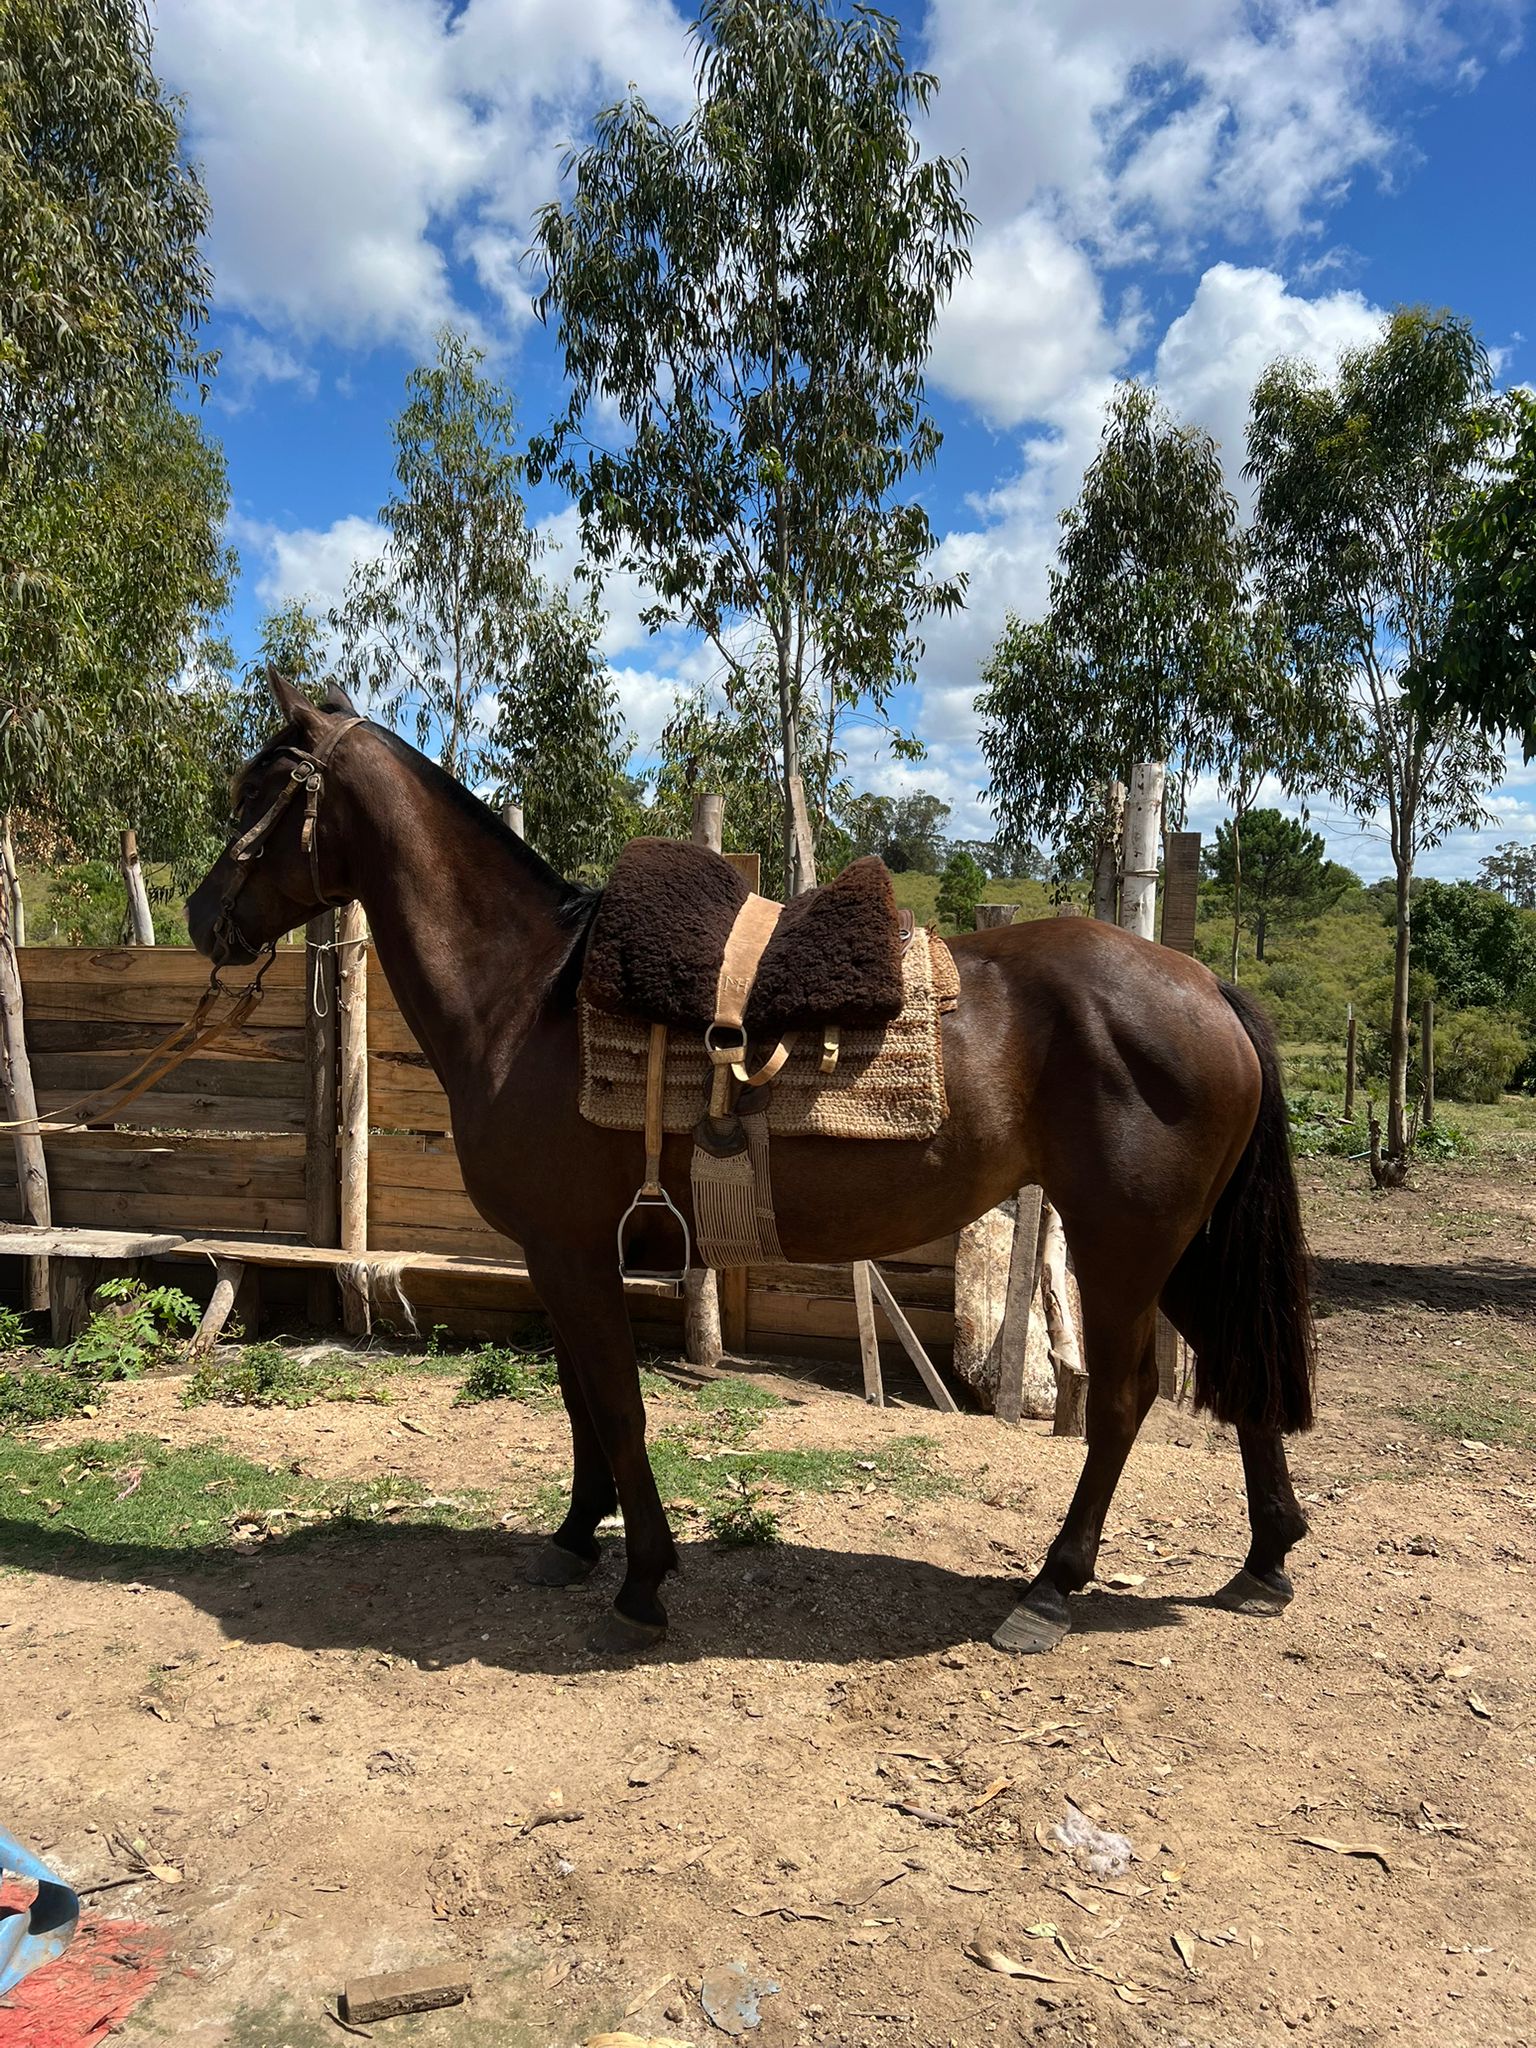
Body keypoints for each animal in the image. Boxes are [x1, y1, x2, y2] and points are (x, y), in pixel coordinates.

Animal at [187, 678, 1315, 1657]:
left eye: (255, 791)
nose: (202, 916)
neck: (523, 996)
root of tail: (1206, 984)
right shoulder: (560, 1253)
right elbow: (580, 1400)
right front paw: (574, 1538)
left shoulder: (571, 1248)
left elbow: (617, 1405)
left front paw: (642, 1581)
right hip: (1179, 1244)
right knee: (1238, 1365)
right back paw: (1266, 1559)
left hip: (1123, 1243)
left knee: (1122, 1400)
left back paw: (1051, 1586)